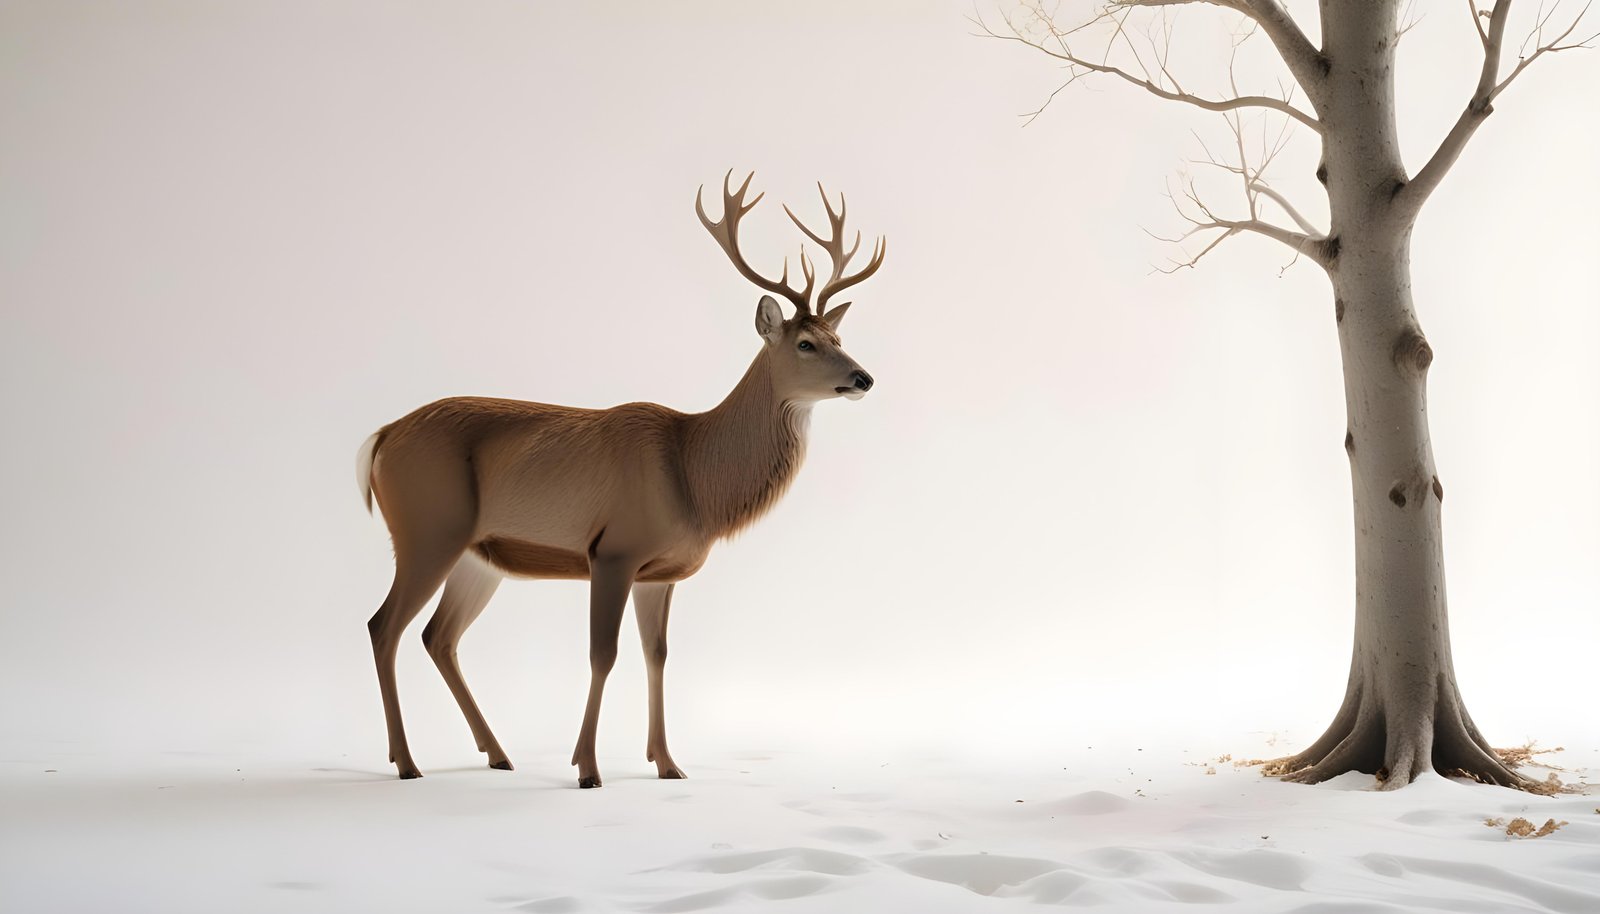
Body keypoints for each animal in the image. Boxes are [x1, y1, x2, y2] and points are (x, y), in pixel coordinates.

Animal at [355, 172, 886, 787]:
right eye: (806, 342)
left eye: (839, 337)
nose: (864, 378)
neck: (694, 477)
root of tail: (382, 437)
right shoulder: (612, 549)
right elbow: (602, 654)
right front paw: (587, 767)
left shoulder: (660, 573)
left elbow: (657, 654)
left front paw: (669, 763)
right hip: (426, 530)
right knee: (383, 626)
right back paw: (407, 762)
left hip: (479, 555)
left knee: (438, 636)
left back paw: (497, 753)